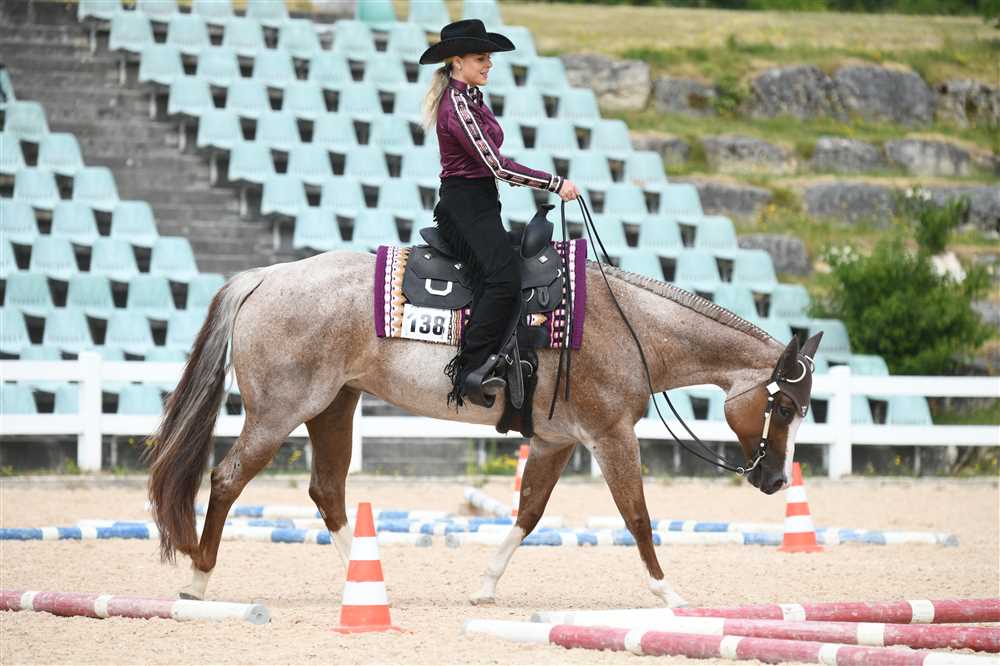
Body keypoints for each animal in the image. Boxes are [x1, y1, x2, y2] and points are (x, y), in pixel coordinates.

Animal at [145, 249, 822, 606]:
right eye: (787, 408)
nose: (773, 480)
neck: (629, 326)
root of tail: (263, 277)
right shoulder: (610, 437)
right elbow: (637, 516)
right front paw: (669, 595)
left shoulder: (555, 441)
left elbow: (529, 513)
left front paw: (485, 587)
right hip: (279, 412)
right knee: (228, 479)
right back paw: (199, 581)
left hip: (334, 407)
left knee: (327, 492)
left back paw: (365, 581)